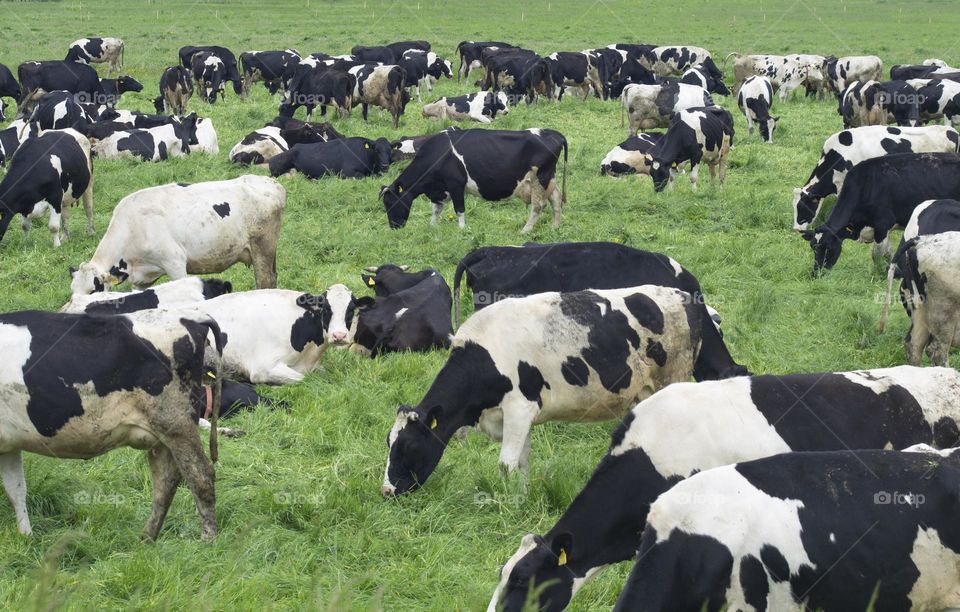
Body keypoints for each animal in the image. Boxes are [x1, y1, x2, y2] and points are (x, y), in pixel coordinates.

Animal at [0, 309, 224, 539]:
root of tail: (190, 314)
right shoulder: (9, 445)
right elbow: (16, 489)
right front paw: (26, 536)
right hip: (161, 435)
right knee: (166, 481)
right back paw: (147, 539)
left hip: (177, 424)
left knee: (201, 476)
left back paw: (208, 539)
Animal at [70, 176, 285, 294]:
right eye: (72, 291)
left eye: (93, 290)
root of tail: (272, 183)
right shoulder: (142, 279)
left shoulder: (175, 263)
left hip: (262, 249)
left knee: (265, 282)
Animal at [380, 127, 567, 233]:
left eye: (391, 203)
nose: (394, 227)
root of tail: (553, 133)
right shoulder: (439, 189)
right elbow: (436, 210)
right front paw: (432, 227)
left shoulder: (456, 184)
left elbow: (459, 210)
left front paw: (462, 230)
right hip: (549, 178)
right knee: (556, 199)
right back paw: (555, 227)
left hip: (540, 178)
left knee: (538, 206)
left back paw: (525, 231)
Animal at [382, 285, 721, 496]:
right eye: (389, 442)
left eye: (408, 446)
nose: (387, 490)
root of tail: (681, 295)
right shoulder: (520, 417)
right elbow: (521, 462)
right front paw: (521, 495)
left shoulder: (519, 408)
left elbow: (506, 463)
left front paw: (506, 500)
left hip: (673, 378)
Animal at [801, 152, 960, 274]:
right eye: (813, 247)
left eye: (828, 247)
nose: (816, 273)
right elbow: (888, 252)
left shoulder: (882, 225)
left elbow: (877, 254)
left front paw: (878, 274)